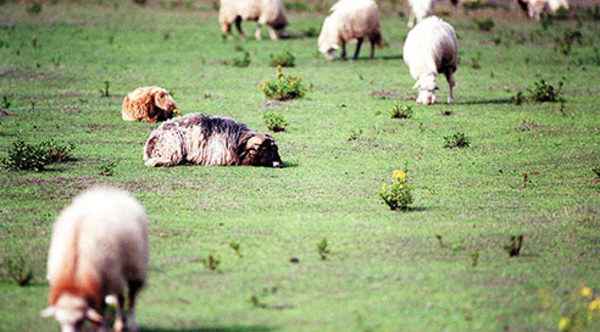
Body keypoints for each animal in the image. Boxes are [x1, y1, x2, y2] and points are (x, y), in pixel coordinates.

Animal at [42, 187, 149, 332]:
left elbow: (102, 310)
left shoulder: (105, 280)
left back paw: (129, 325)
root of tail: (107, 190)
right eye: (59, 321)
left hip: (134, 269)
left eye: (80, 320)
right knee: (121, 298)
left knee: (129, 298)